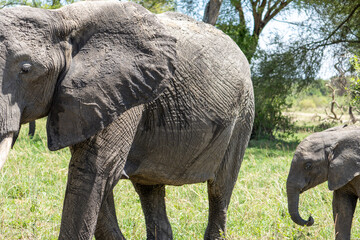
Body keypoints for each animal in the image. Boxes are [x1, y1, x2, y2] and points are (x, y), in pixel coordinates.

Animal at [0, 1, 255, 240]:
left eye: (26, 68)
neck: (60, 19)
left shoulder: (124, 91)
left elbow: (94, 169)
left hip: (244, 113)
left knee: (219, 190)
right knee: (150, 190)